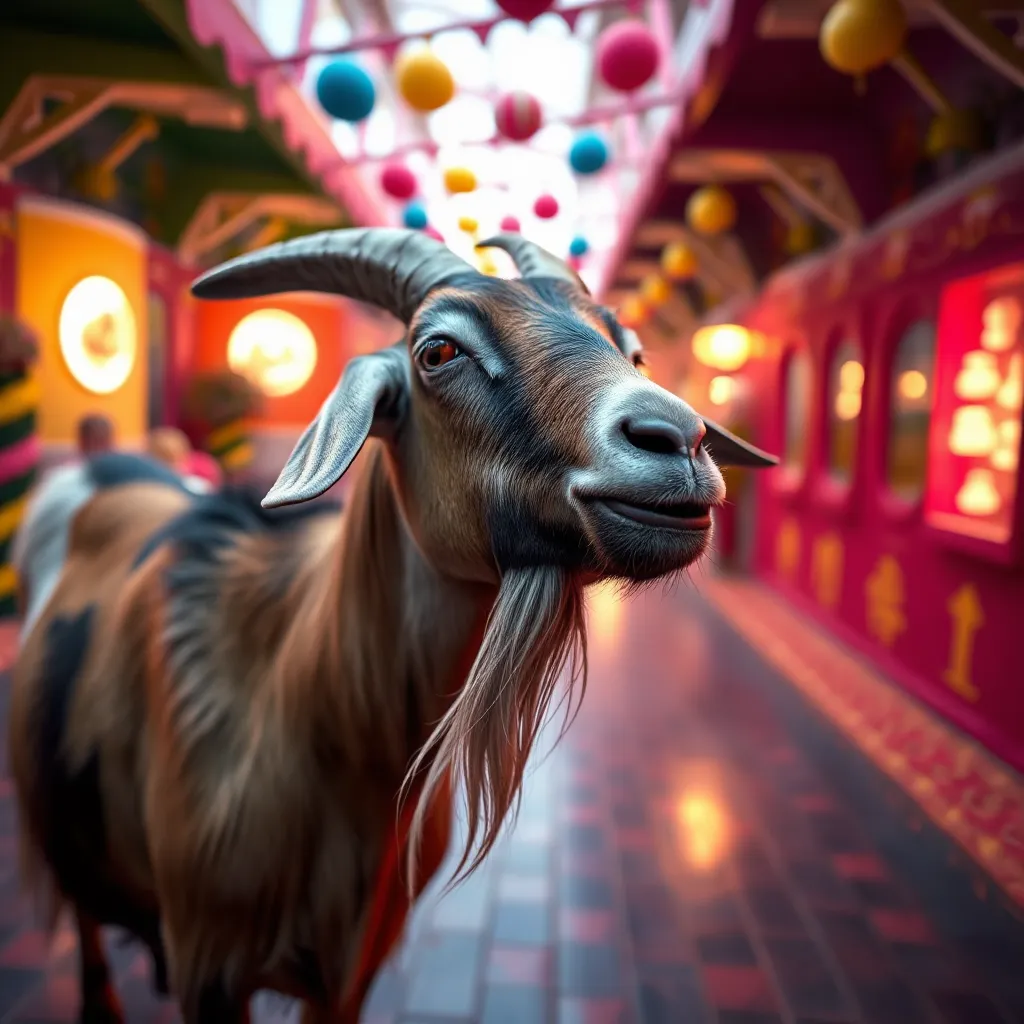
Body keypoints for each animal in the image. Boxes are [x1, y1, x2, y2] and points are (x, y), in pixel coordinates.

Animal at [8, 229, 776, 1024]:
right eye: (437, 351)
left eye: (633, 349)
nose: (678, 439)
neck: (305, 706)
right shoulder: (207, 963)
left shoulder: (358, 965)